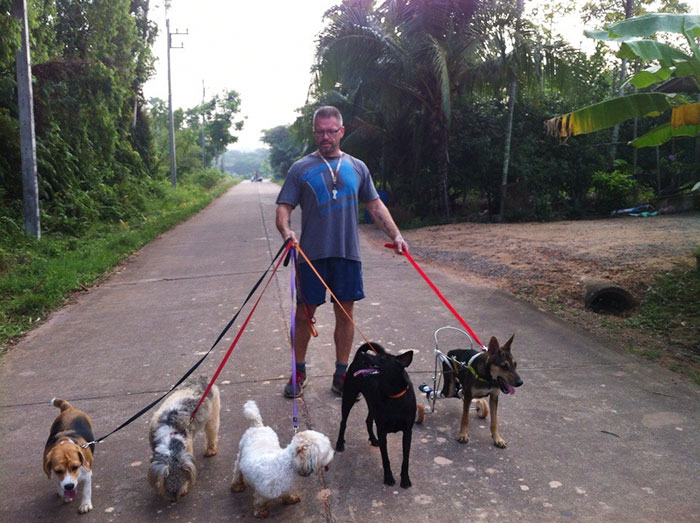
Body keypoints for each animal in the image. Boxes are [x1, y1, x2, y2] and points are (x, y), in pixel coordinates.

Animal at [334, 344, 416, 488]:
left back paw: (372, 439)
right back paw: (339, 443)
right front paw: (388, 478)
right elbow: (385, 458)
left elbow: (405, 459)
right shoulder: (382, 431)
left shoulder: (407, 432)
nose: (363, 354)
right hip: (349, 396)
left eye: (382, 357)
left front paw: (405, 480)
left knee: (368, 421)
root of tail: (356, 359)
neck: (393, 396)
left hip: (372, 405)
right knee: (343, 422)